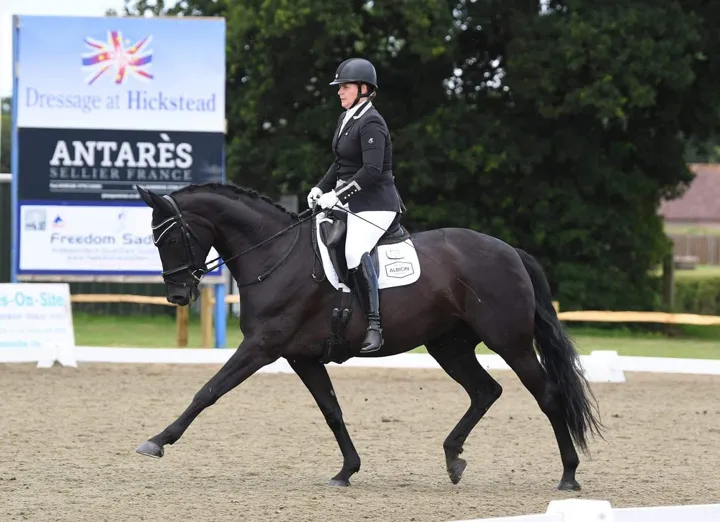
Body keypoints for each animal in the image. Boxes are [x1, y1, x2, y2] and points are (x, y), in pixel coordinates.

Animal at [133, 182, 603, 491]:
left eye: (170, 238)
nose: (178, 295)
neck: (275, 255)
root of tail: (510, 251)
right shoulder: (301, 356)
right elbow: (331, 410)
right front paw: (346, 471)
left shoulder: (262, 347)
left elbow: (209, 391)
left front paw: (157, 441)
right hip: (449, 347)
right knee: (485, 390)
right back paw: (453, 459)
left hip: (510, 343)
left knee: (548, 395)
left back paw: (568, 476)